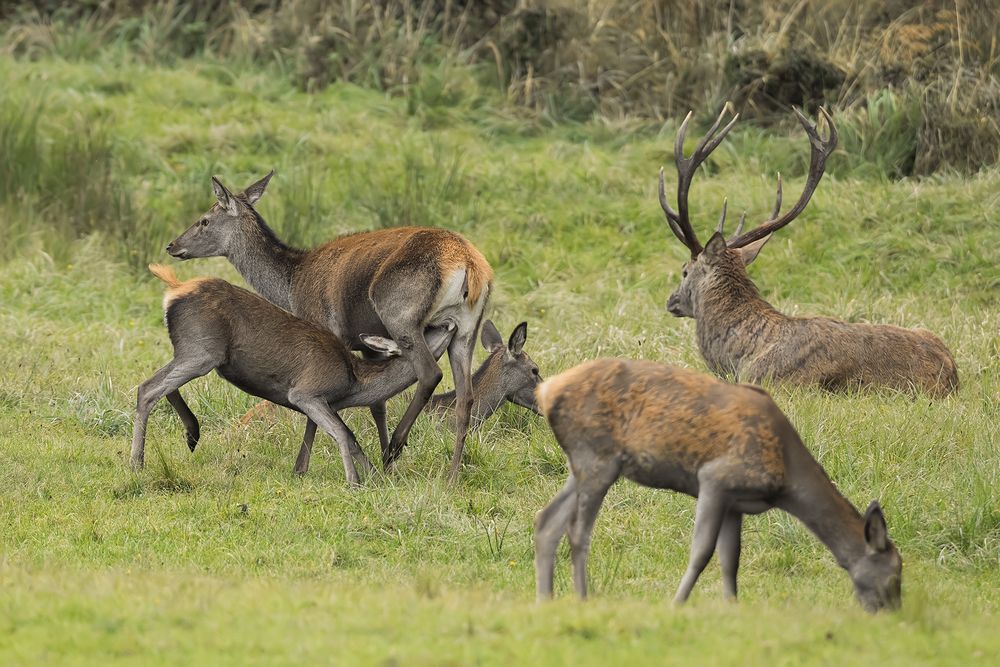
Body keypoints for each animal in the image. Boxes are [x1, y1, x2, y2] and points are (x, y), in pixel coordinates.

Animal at [133, 264, 458, 486]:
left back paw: (191, 434)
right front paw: (354, 482)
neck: (354, 382)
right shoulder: (306, 391)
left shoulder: (319, 401)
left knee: (160, 385)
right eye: (426, 330)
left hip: (191, 351)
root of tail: (174, 288)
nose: (451, 322)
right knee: (147, 389)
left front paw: (369, 476)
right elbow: (342, 433)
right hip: (203, 351)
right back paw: (137, 463)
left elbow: (341, 436)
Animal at [166, 174, 494, 480]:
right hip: (465, 329)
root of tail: (470, 265)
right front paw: (381, 468)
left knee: (430, 373)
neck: (291, 284)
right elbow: (378, 403)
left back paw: (396, 447)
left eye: (204, 220)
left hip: (400, 315)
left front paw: (301, 467)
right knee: (466, 397)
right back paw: (450, 476)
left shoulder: (323, 327)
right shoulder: (368, 343)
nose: (172, 245)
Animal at [536, 358, 904, 612]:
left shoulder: (735, 503)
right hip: (597, 458)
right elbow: (701, 552)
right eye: (895, 573)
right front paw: (677, 604)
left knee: (547, 520)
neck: (786, 479)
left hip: (580, 463)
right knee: (577, 530)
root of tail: (547, 389)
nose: (891, 613)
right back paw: (581, 598)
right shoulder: (716, 478)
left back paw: (546, 599)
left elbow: (730, 559)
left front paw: (731, 607)